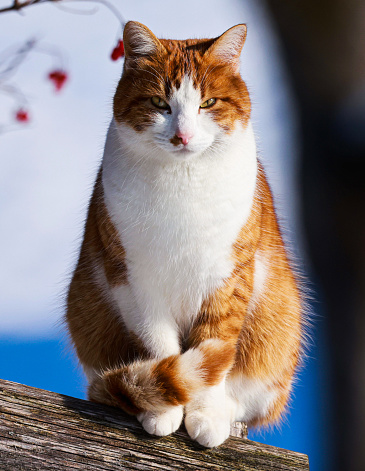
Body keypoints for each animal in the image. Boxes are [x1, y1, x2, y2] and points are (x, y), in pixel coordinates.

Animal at [64, 21, 302, 450]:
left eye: (208, 103)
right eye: (160, 103)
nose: (183, 136)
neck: (183, 183)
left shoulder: (228, 278)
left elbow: (214, 349)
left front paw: (206, 414)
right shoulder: (134, 282)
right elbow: (159, 346)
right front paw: (162, 407)